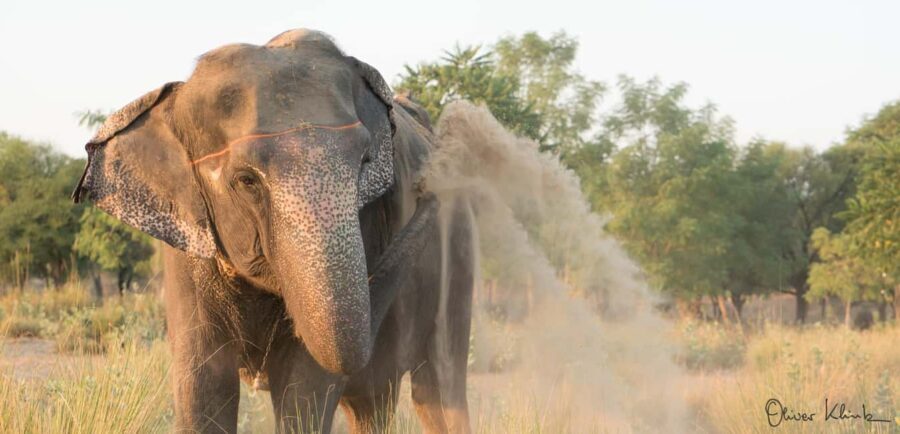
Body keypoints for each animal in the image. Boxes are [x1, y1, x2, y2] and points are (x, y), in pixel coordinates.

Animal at [72, 29, 475, 433]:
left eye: (365, 161)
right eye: (246, 180)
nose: (430, 184)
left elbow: (306, 385)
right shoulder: (187, 250)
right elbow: (203, 385)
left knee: (432, 387)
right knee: (377, 398)